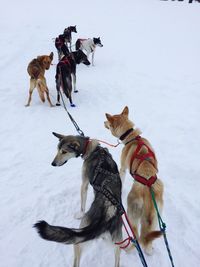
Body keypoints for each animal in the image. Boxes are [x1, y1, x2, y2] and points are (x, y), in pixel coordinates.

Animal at [33, 134, 122, 267]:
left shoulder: (84, 183)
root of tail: (108, 213)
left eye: (64, 151)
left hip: (78, 243)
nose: (53, 164)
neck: (92, 149)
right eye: (57, 149)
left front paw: (80, 213)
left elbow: (82, 204)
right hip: (117, 246)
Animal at [104, 106, 164, 255]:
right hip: (156, 218)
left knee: (137, 235)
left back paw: (129, 248)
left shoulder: (123, 168)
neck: (132, 138)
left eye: (108, 121)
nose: (103, 122)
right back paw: (149, 249)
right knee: (147, 238)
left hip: (132, 213)